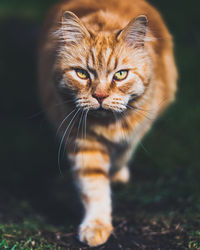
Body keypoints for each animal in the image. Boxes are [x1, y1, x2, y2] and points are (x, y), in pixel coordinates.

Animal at [38, 0, 177, 246]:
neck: (109, 125)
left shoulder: (137, 130)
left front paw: (117, 174)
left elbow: (124, 153)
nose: (100, 96)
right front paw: (97, 226)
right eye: (82, 74)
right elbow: (94, 187)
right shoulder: (83, 142)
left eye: (120, 75)